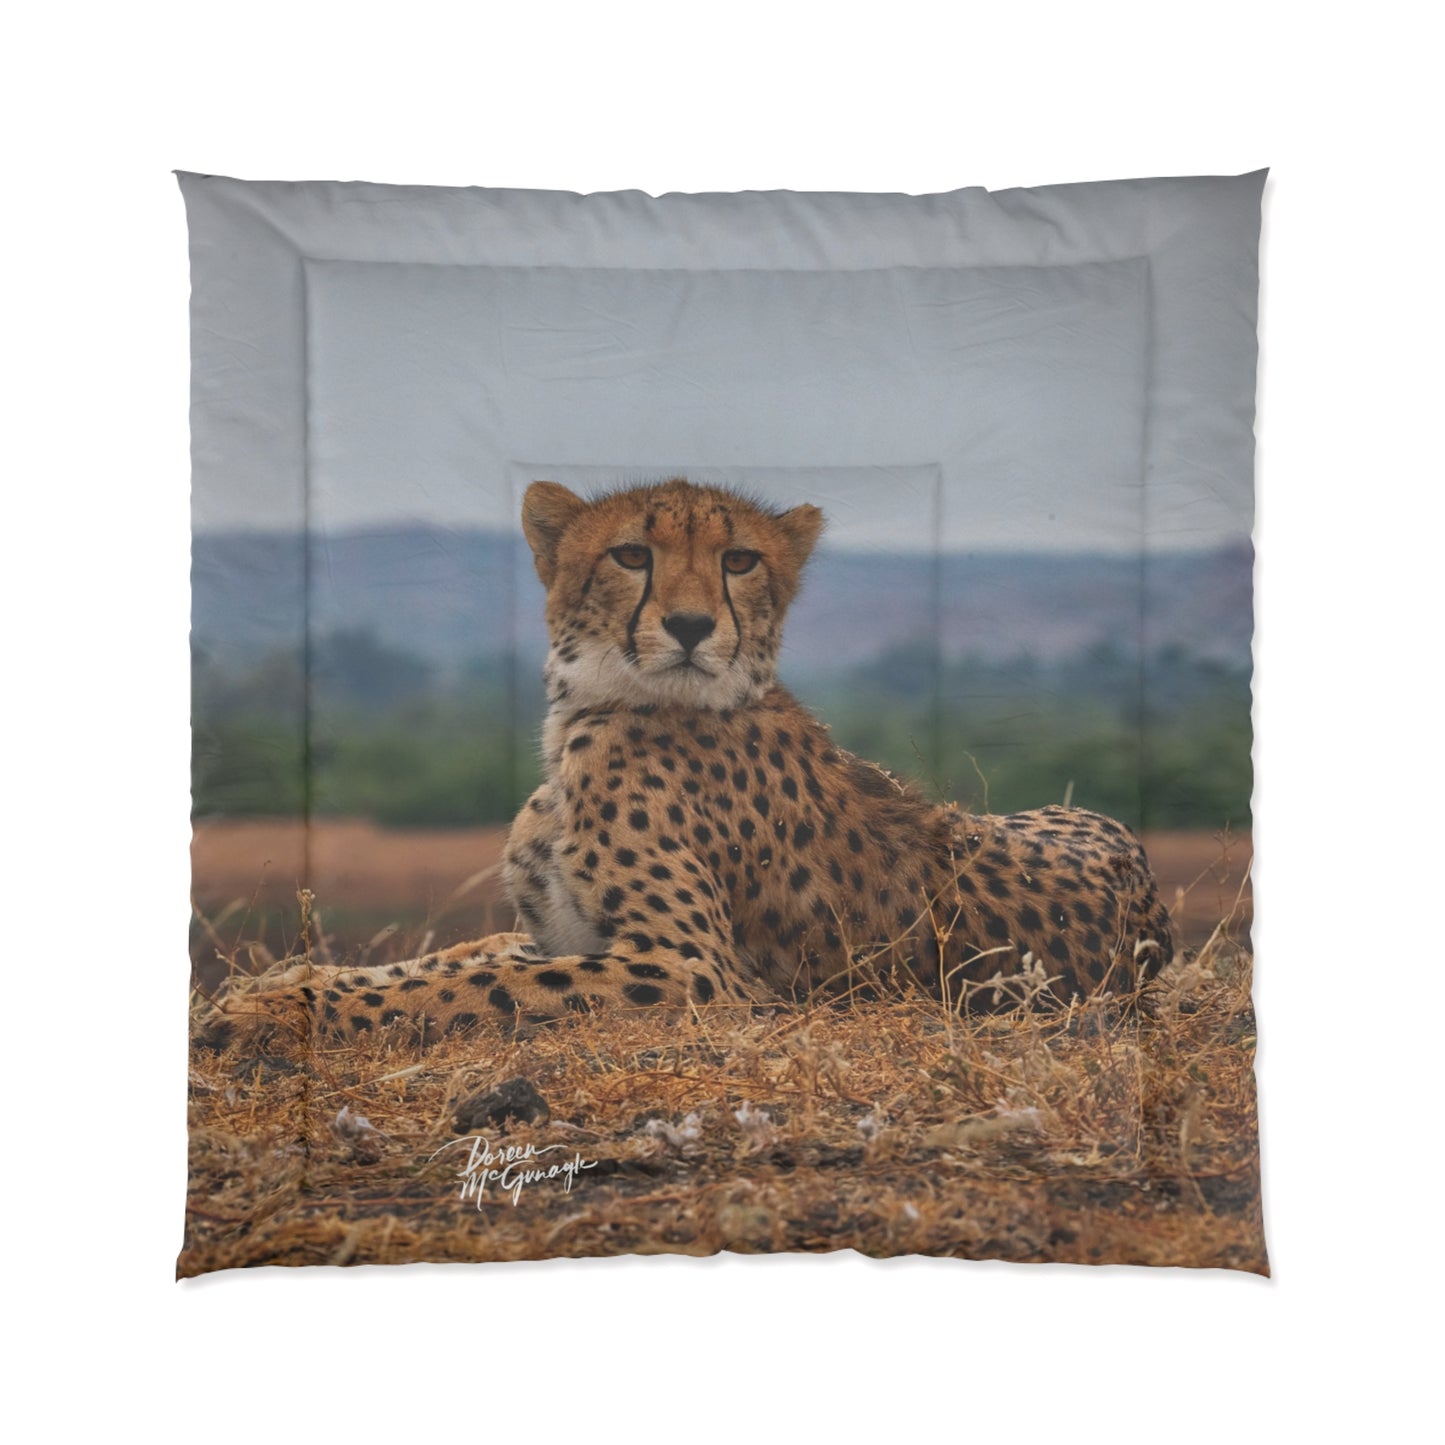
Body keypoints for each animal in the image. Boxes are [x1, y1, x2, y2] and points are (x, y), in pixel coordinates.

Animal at [204, 478, 1172, 1048]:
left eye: (738, 559)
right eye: (631, 553)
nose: (690, 624)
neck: (592, 712)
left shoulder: (693, 968)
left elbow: (486, 983)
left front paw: (275, 1007)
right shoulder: (561, 930)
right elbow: (449, 960)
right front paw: (280, 982)